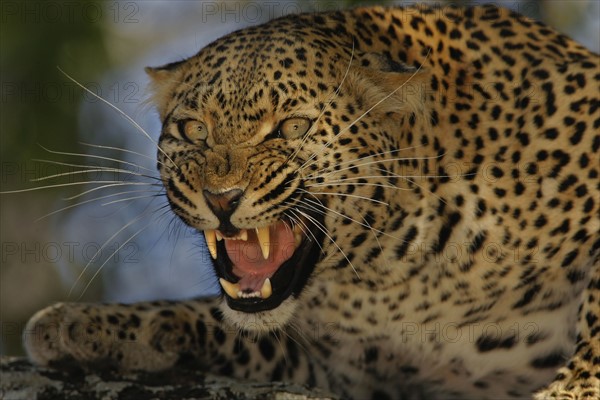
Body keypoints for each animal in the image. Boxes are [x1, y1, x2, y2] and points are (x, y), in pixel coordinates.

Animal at [21, 3, 596, 400]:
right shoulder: (350, 368)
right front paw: (83, 324)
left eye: (293, 127)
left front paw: (571, 387)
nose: (221, 198)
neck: (391, 280)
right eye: (195, 130)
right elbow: (216, 318)